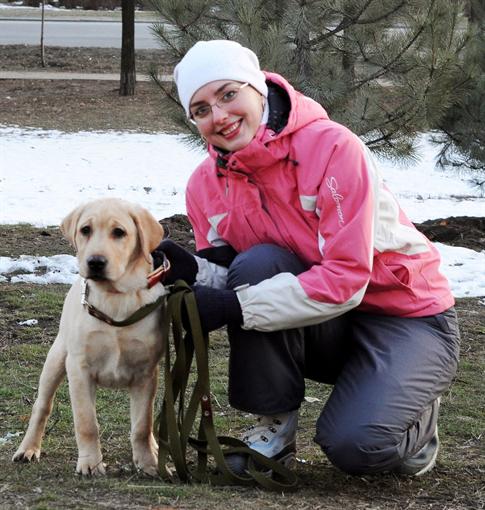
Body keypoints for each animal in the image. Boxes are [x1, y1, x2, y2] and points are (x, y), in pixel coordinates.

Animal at [12, 197, 167, 476]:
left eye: (119, 232)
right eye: (85, 230)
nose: (95, 262)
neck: (115, 298)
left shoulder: (146, 373)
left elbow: (142, 425)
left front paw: (149, 464)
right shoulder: (79, 368)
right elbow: (86, 423)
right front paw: (90, 464)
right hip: (56, 358)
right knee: (41, 405)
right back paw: (27, 449)